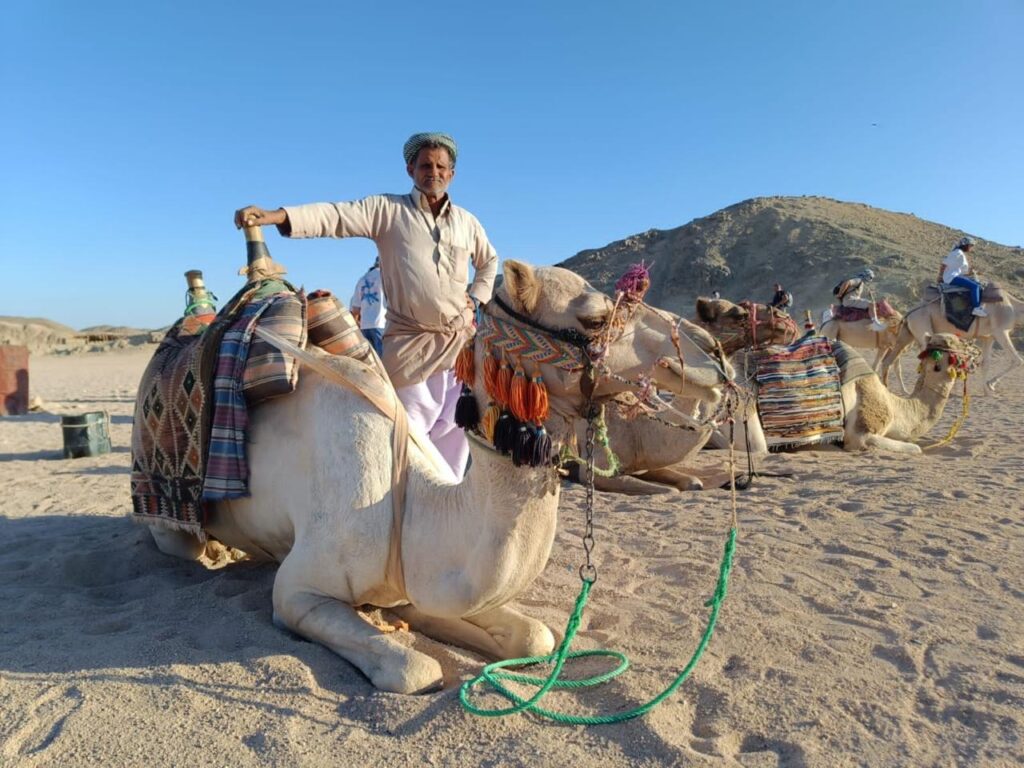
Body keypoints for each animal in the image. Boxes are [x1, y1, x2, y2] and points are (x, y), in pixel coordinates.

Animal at [141, 260, 729, 694]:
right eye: (594, 317)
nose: (710, 356)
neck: (410, 502)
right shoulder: (298, 592)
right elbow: (416, 670)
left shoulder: (418, 584)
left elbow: (534, 637)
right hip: (169, 521)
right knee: (180, 543)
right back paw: (217, 549)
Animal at [879, 290, 1024, 393]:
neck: (1013, 307)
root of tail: (909, 312)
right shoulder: (1001, 331)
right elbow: (1018, 360)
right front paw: (991, 384)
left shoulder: (988, 337)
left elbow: (986, 363)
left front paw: (987, 390)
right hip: (921, 326)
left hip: (907, 335)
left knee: (888, 361)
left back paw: (888, 389)